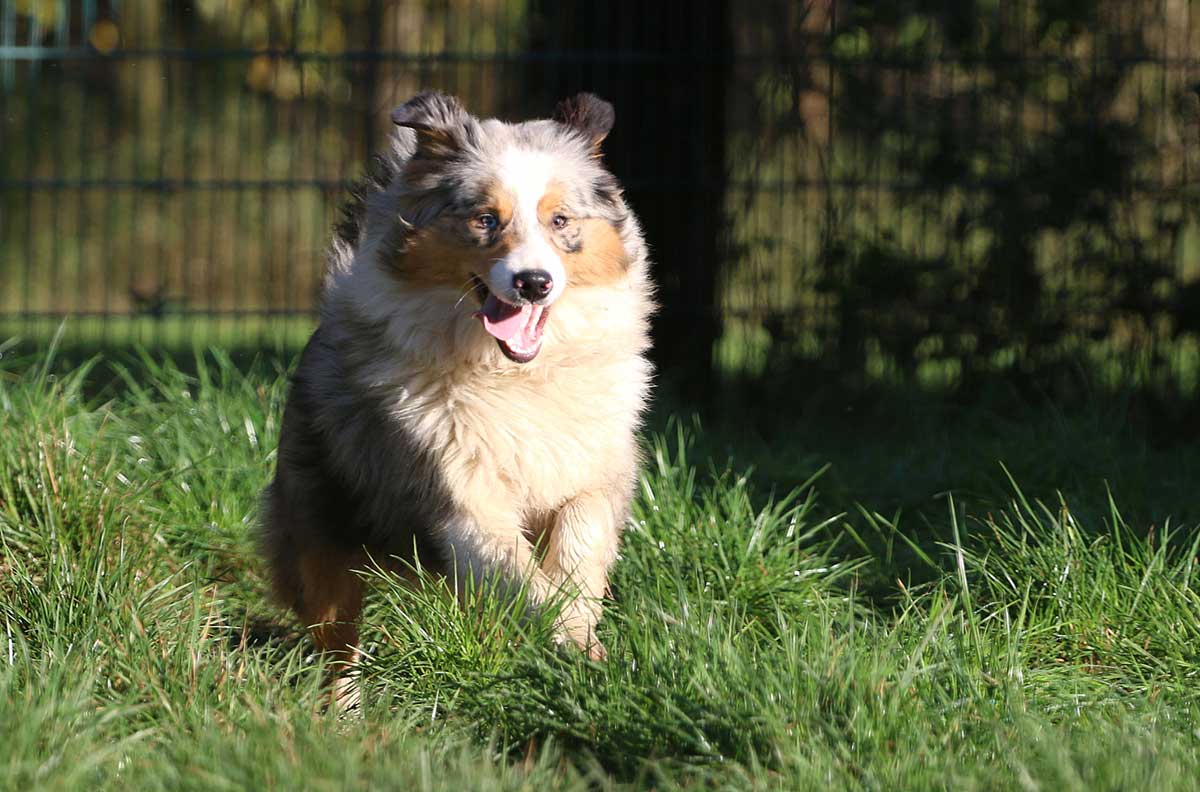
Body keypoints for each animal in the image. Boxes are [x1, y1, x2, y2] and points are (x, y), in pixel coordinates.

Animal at [261, 93, 657, 705]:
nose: (534, 283)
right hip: (322, 525)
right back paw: (343, 709)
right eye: (485, 219)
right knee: (336, 636)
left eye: (560, 220)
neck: (515, 376)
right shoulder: (457, 494)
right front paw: (570, 642)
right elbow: (520, 575)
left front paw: (580, 638)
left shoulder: (594, 473)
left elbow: (579, 545)